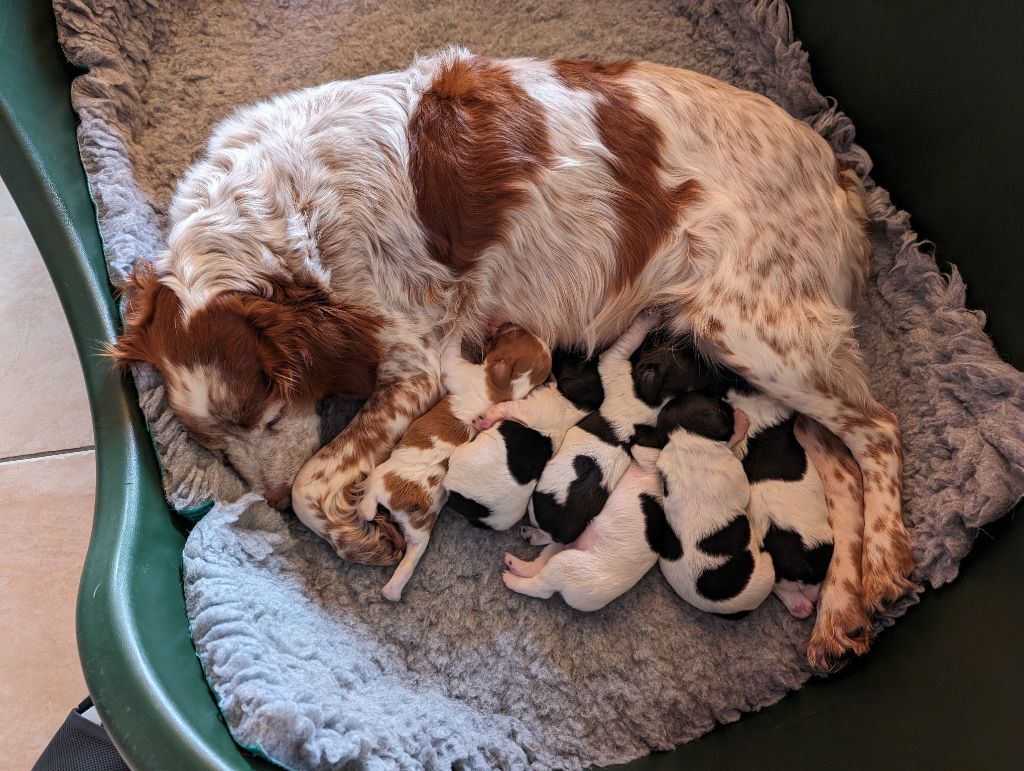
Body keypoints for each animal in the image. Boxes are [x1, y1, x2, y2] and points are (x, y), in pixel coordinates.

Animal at [446, 348, 602, 528]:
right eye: (582, 358)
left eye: (576, 360)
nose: (561, 349)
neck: (573, 406)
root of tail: (482, 514)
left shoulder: (523, 408)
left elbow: (502, 407)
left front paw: (485, 419)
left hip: (459, 458)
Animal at [501, 434, 663, 614]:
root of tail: (593, 603)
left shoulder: (651, 459)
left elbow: (640, 450)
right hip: (564, 548)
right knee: (539, 564)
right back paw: (516, 561)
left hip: (568, 566)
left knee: (541, 588)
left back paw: (511, 579)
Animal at [524, 313, 708, 540]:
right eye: (681, 352)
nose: (696, 348)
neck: (658, 398)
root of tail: (557, 531)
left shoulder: (613, 361)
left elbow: (628, 339)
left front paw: (648, 317)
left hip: (534, 506)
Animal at [729, 387, 831, 618]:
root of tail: (797, 563)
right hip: (821, 549)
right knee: (811, 588)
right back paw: (806, 604)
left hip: (779, 569)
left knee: (784, 588)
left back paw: (799, 606)